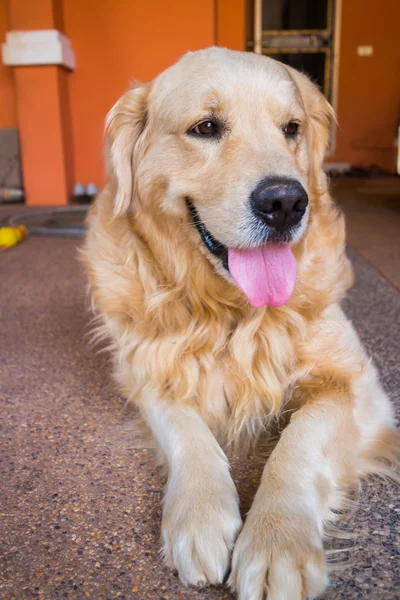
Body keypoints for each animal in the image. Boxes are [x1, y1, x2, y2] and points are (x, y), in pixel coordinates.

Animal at [82, 49, 400, 596]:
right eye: (206, 127)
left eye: (291, 128)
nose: (286, 202)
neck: (232, 312)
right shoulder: (147, 373)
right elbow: (188, 431)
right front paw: (201, 515)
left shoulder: (358, 387)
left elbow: (299, 441)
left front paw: (278, 540)